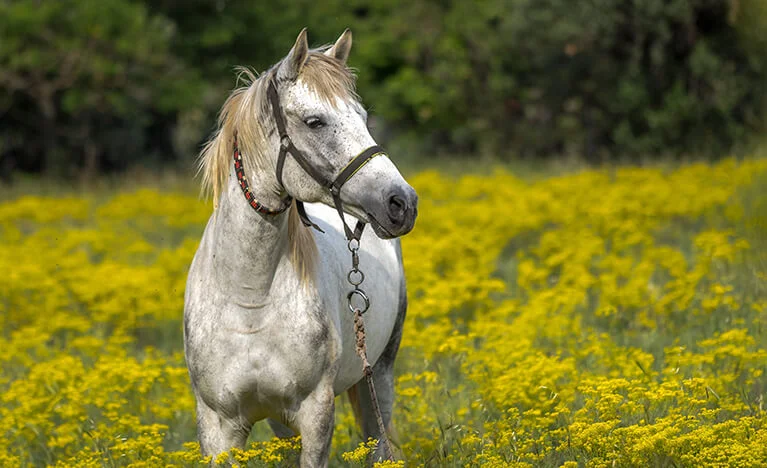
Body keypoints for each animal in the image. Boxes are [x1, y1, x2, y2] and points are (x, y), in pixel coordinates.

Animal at [182, 29, 416, 468]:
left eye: (363, 117)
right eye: (314, 121)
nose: (402, 203)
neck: (250, 298)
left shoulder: (315, 413)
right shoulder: (218, 425)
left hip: (379, 376)